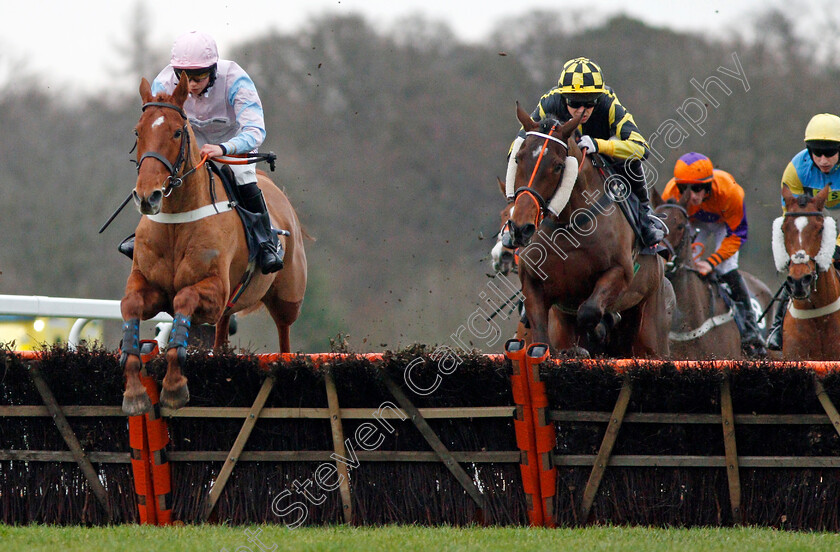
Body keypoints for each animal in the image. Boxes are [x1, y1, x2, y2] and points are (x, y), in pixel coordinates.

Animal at [121, 76, 308, 414]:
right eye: (138, 131)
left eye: (177, 132)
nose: (147, 196)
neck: (177, 221)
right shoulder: (148, 284)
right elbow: (130, 305)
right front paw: (134, 392)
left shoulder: (213, 290)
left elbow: (183, 299)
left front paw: (174, 386)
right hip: (231, 306)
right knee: (222, 336)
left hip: (287, 298)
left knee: (284, 336)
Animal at [502, 103, 672, 356]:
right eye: (518, 159)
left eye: (558, 166)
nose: (521, 228)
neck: (567, 225)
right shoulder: (534, 285)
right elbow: (540, 338)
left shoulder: (620, 271)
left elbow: (589, 311)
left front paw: (600, 327)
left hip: (651, 329)